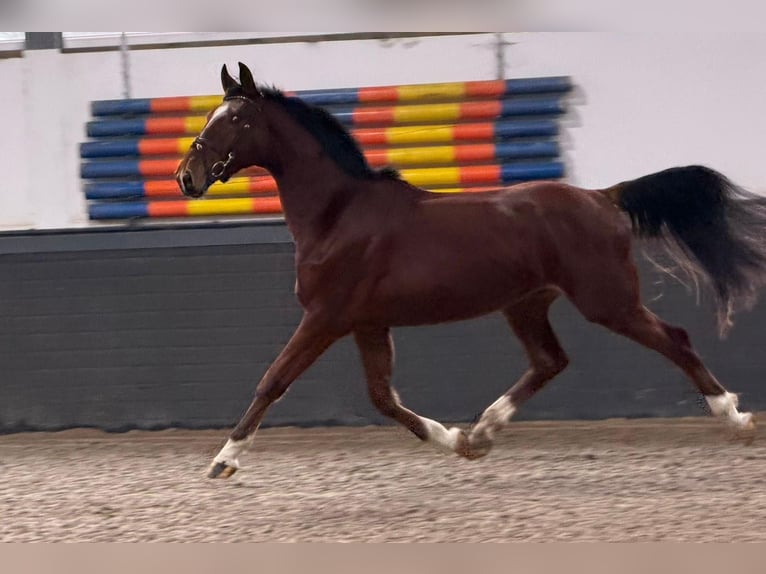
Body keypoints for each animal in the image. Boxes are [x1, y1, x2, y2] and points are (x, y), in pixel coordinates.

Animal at [176, 62, 766, 479]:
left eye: (237, 120)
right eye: (208, 118)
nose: (187, 176)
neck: (338, 213)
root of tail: (603, 197)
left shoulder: (326, 317)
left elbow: (273, 381)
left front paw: (224, 460)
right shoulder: (367, 323)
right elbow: (382, 398)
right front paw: (456, 441)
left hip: (607, 299)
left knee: (675, 339)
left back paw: (736, 419)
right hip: (526, 303)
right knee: (550, 361)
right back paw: (482, 431)